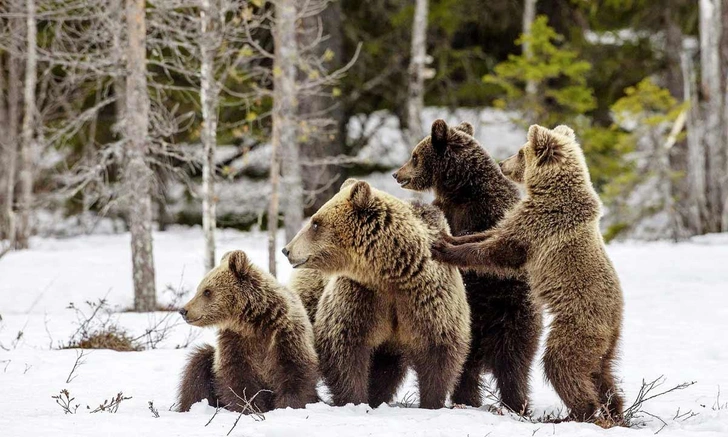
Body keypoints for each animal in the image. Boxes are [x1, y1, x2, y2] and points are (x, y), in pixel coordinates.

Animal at [177, 249, 318, 412]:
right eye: (199, 289)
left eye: (207, 291)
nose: (184, 310)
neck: (253, 324)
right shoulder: (235, 341)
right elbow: (238, 379)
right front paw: (249, 407)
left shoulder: (285, 335)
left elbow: (294, 373)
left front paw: (288, 406)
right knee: (197, 368)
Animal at [282, 180, 470, 408]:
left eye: (315, 223)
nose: (287, 250)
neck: (388, 274)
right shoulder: (361, 296)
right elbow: (344, 345)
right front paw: (354, 399)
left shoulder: (426, 297)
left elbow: (438, 348)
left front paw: (432, 401)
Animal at [392, 119, 540, 412]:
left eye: (414, 156)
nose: (396, 174)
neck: (461, 188)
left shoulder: (475, 213)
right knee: (507, 365)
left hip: (505, 313)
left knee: (504, 363)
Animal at [432, 124, 624, 420]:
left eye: (520, 152)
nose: (502, 164)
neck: (550, 189)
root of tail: (615, 321)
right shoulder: (523, 217)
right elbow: (490, 234)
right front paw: (449, 237)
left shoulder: (541, 224)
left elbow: (500, 252)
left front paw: (443, 249)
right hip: (605, 344)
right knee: (602, 373)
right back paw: (615, 410)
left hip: (576, 325)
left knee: (561, 364)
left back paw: (577, 412)